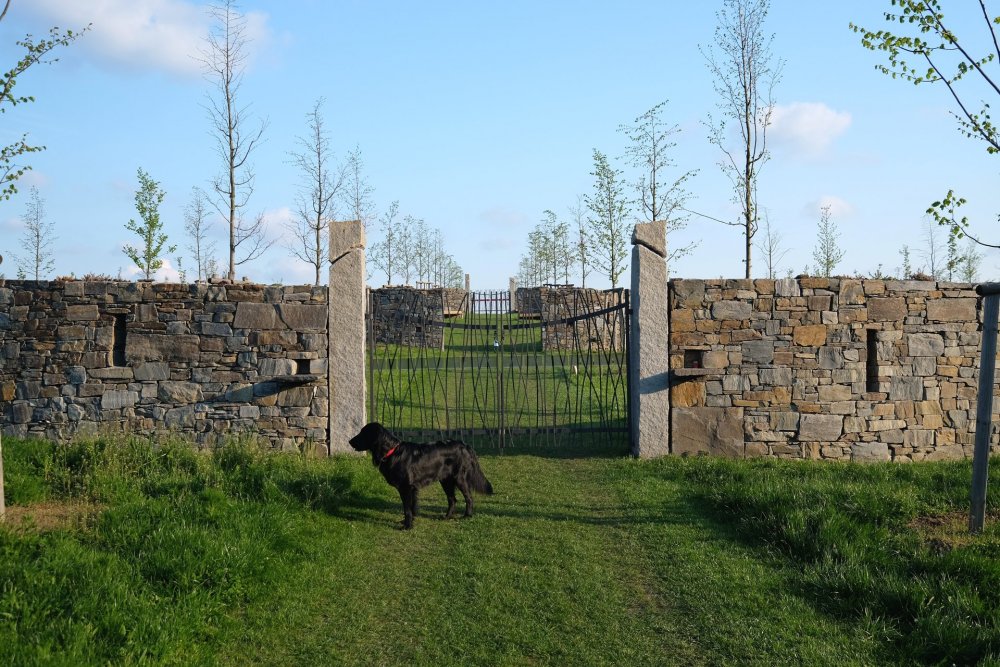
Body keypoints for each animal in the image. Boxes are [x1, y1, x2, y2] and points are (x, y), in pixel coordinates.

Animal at [350, 426, 494, 528]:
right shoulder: (413, 488)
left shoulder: (406, 488)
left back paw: (467, 516)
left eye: (363, 433)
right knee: (452, 499)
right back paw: (446, 517)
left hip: (459, 478)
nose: (349, 441)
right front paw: (410, 521)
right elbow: (412, 507)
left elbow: (407, 509)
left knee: (469, 497)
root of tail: (464, 445)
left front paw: (407, 526)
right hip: (445, 480)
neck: (392, 452)